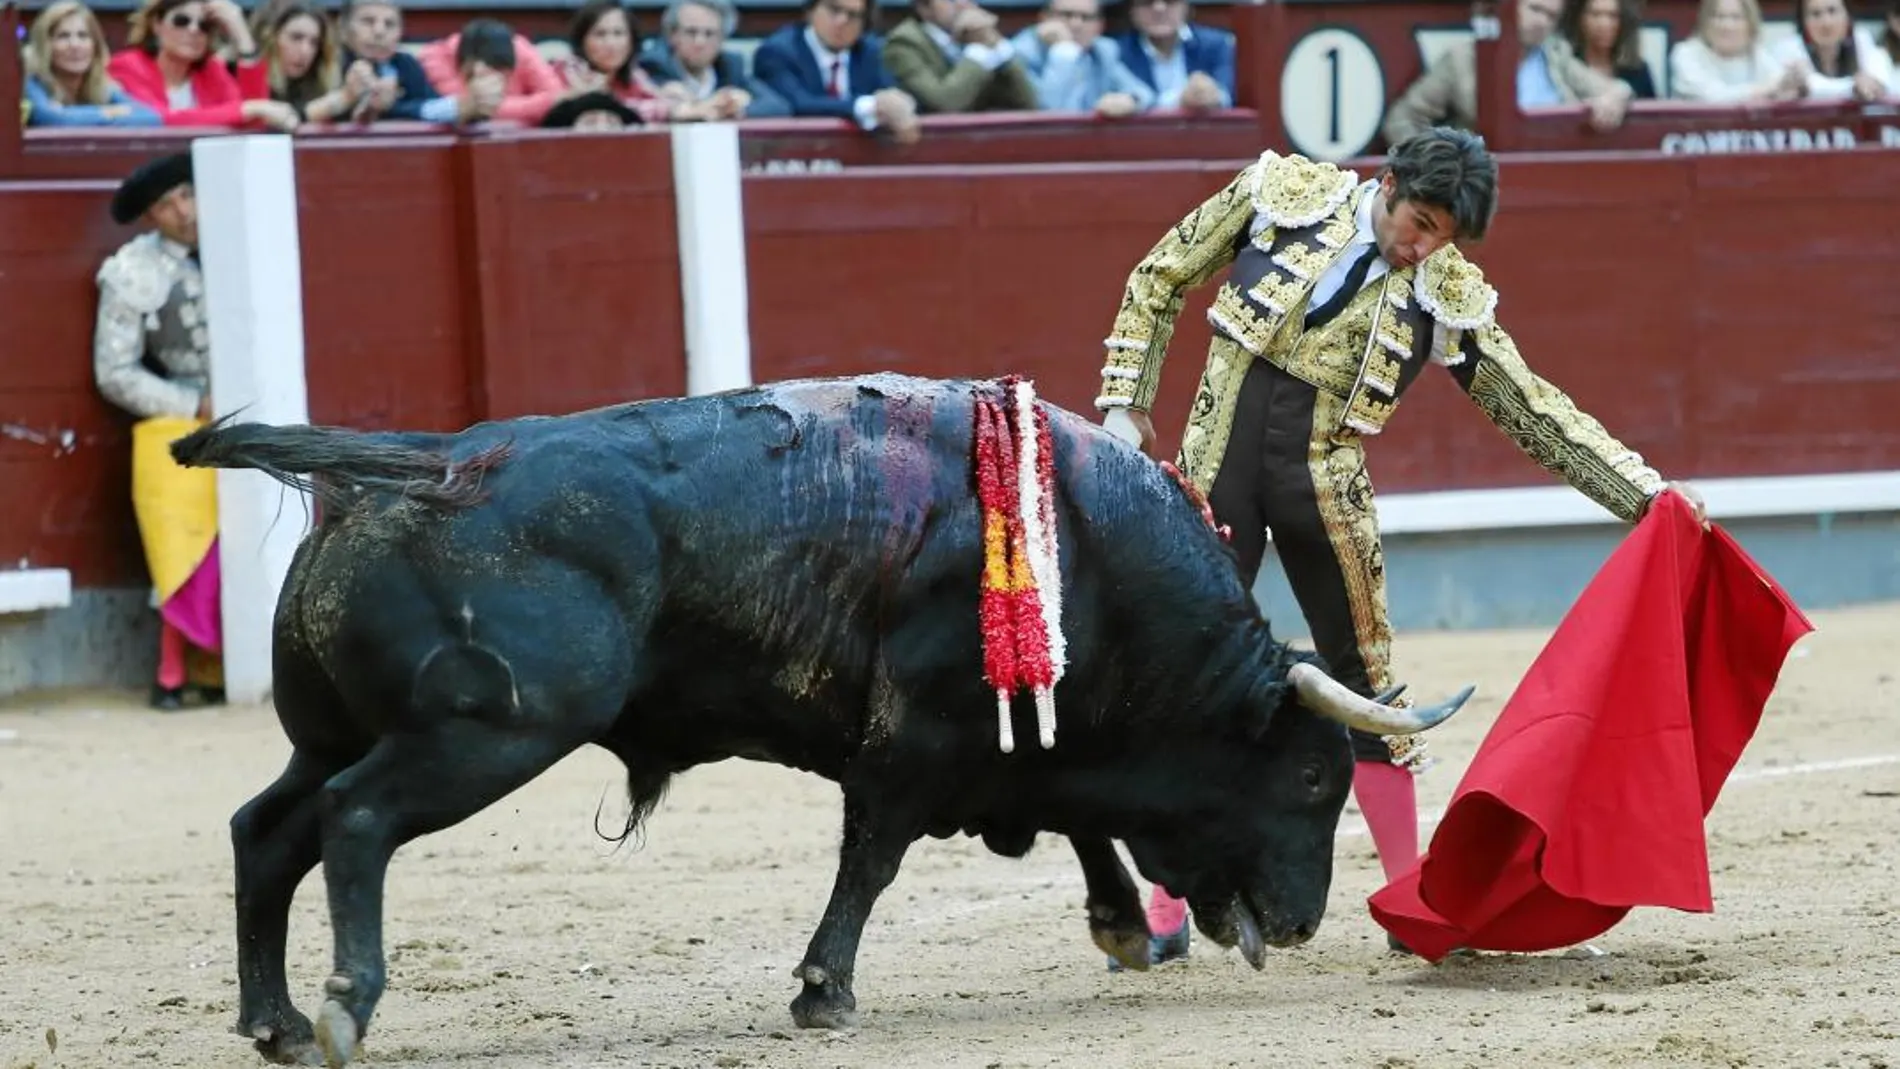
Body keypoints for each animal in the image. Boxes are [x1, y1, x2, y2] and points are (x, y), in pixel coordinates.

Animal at [171, 372, 1466, 1063]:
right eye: (1314, 780)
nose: (1302, 922)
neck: (1092, 559)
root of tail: (427, 466)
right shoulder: (915, 745)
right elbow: (874, 859)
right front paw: (823, 989)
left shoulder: (1022, 738)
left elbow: (1073, 821)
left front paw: (1121, 929)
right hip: (483, 735)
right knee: (353, 821)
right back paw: (345, 1004)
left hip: (333, 733)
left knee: (263, 831)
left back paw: (271, 1017)